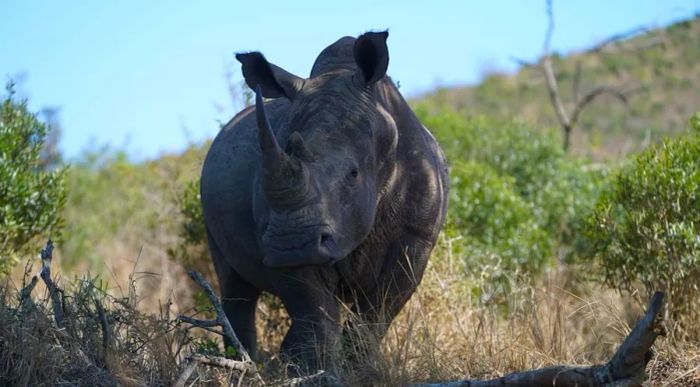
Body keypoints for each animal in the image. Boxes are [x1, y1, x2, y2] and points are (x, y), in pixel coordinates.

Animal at [198, 31, 448, 372]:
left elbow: (378, 312)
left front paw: (363, 370)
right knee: (236, 288)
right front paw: (316, 371)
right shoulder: (280, 238)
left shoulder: (416, 236)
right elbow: (316, 313)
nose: (292, 245)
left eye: (353, 174)